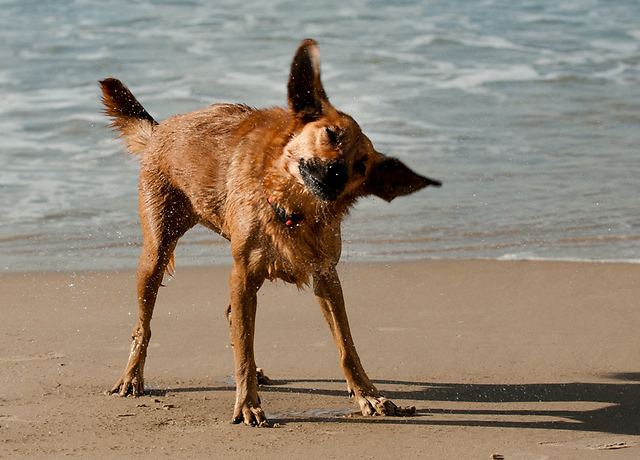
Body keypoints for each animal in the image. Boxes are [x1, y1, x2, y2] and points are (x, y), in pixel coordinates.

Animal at [100, 37, 440, 426]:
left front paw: (368, 395)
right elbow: (244, 350)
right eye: (331, 133)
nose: (337, 173)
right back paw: (132, 376)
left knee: (231, 317)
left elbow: (346, 346)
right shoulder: (244, 274)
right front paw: (247, 403)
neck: (292, 209)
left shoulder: (326, 276)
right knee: (144, 325)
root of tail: (161, 128)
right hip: (157, 252)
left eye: (362, 167)